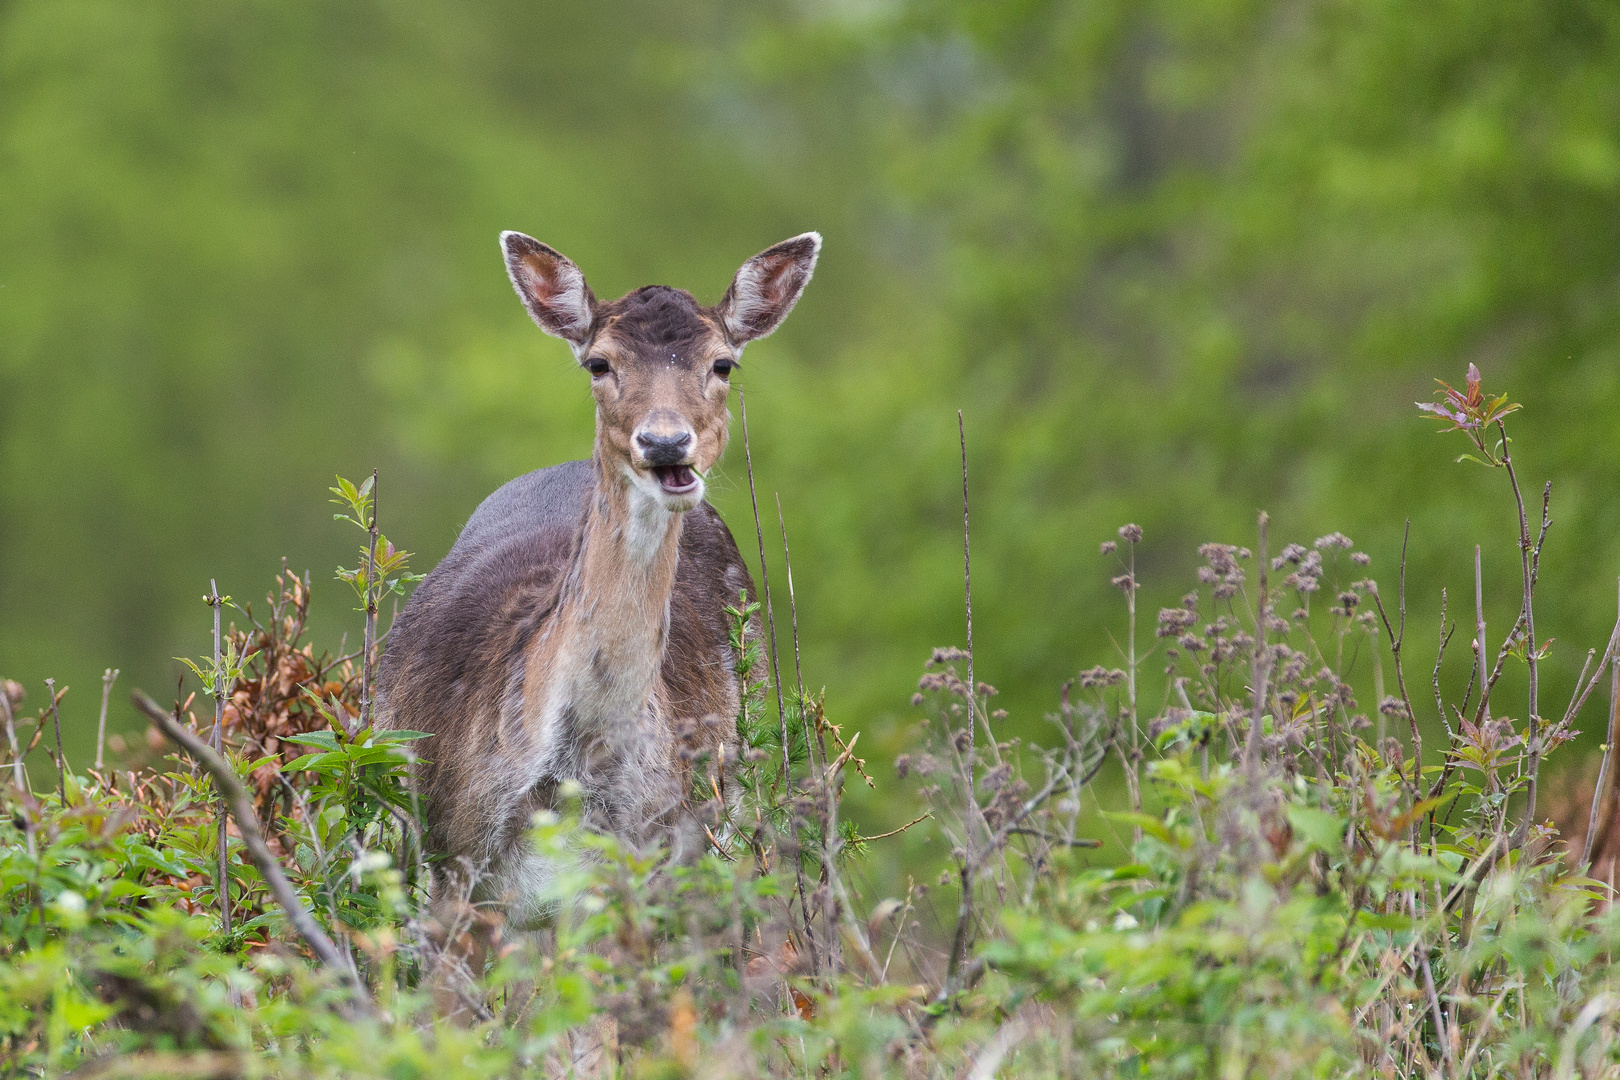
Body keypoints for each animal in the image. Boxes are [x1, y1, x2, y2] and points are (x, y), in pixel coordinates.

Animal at [372, 228, 816, 952]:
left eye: (723, 364)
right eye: (599, 363)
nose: (665, 442)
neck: (568, 773)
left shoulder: (640, 864)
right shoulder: (452, 862)